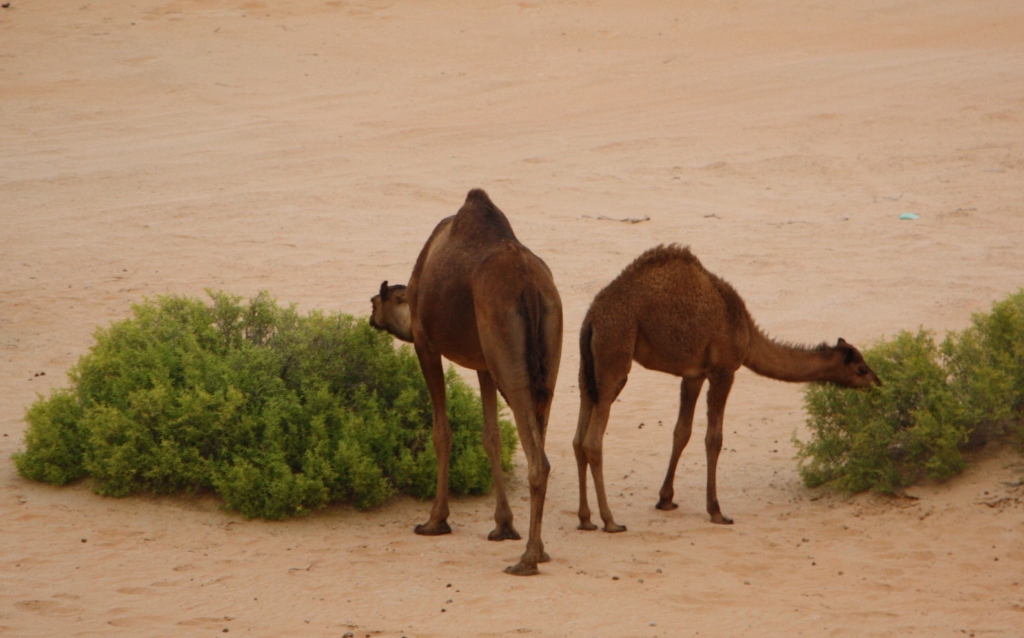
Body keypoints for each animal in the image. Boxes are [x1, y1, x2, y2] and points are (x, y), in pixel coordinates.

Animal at [370, 187, 565, 577]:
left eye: (377, 302)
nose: (370, 311)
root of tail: (528, 285)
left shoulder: (426, 343)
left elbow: (441, 432)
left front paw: (435, 520)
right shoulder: (484, 364)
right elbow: (491, 435)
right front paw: (503, 525)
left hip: (509, 355)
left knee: (538, 460)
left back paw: (527, 559)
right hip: (549, 348)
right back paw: (540, 551)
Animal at [577, 244, 880, 532]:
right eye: (861, 369)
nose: (878, 384)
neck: (746, 331)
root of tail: (591, 319)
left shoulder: (694, 374)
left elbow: (681, 432)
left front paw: (665, 499)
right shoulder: (723, 370)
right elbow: (714, 439)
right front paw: (716, 511)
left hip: (587, 369)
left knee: (579, 437)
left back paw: (586, 519)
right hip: (614, 355)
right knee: (594, 441)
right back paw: (611, 521)